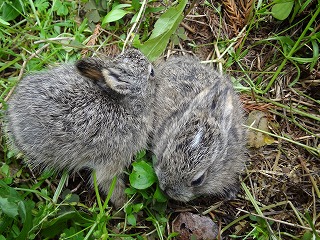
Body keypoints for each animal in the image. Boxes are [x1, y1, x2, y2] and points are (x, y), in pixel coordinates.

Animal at [4, 49, 155, 208]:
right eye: (151, 72)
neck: (127, 106)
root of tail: (12, 116)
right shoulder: (112, 161)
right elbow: (108, 184)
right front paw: (125, 205)